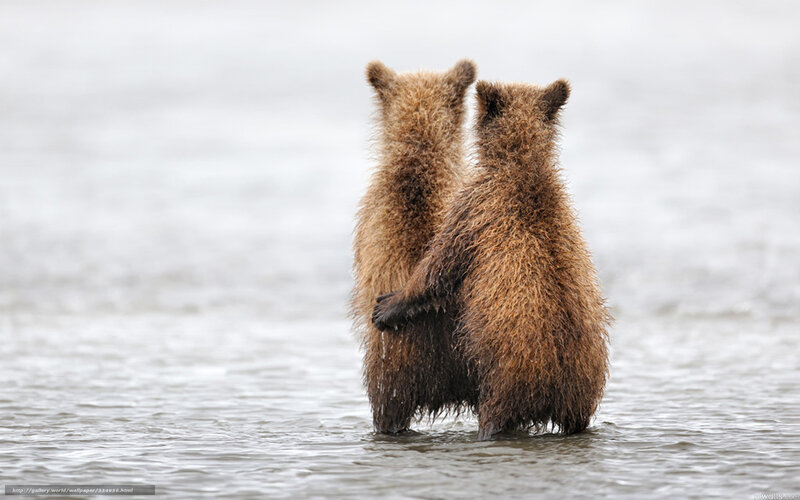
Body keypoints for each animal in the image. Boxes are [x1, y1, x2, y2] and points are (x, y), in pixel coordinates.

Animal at [372, 79, 611, 440]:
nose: (382, 307)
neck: (521, 164)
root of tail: (559, 380)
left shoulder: (473, 209)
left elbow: (439, 268)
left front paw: (387, 305)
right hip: (582, 390)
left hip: (506, 377)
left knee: (494, 416)